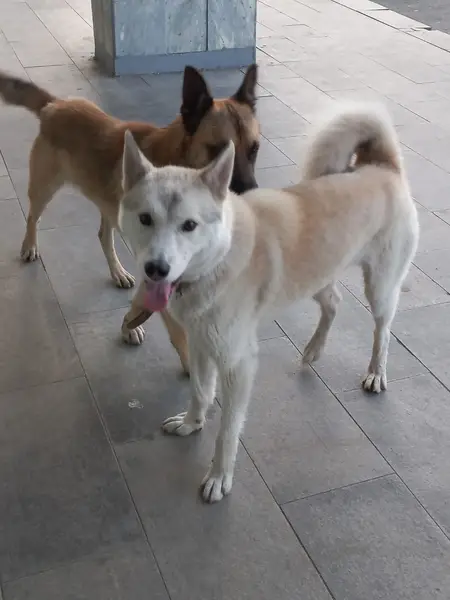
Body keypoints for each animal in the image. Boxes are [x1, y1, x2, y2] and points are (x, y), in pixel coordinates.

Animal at [0, 65, 260, 366]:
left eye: (254, 149)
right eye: (217, 149)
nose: (250, 196)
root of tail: (56, 105)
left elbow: (143, 302)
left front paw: (129, 325)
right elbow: (178, 333)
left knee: (103, 235)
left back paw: (117, 272)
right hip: (44, 187)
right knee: (34, 216)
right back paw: (30, 245)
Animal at [116, 103, 419, 502]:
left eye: (189, 225)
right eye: (145, 219)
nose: (156, 269)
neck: (219, 260)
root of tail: (382, 166)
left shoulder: (237, 363)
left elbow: (228, 429)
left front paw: (219, 477)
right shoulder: (200, 344)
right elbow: (200, 391)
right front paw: (192, 423)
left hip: (380, 288)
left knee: (382, 330)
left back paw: (375, 373)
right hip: (316, 276)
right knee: (334, 302)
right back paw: (313, 350)